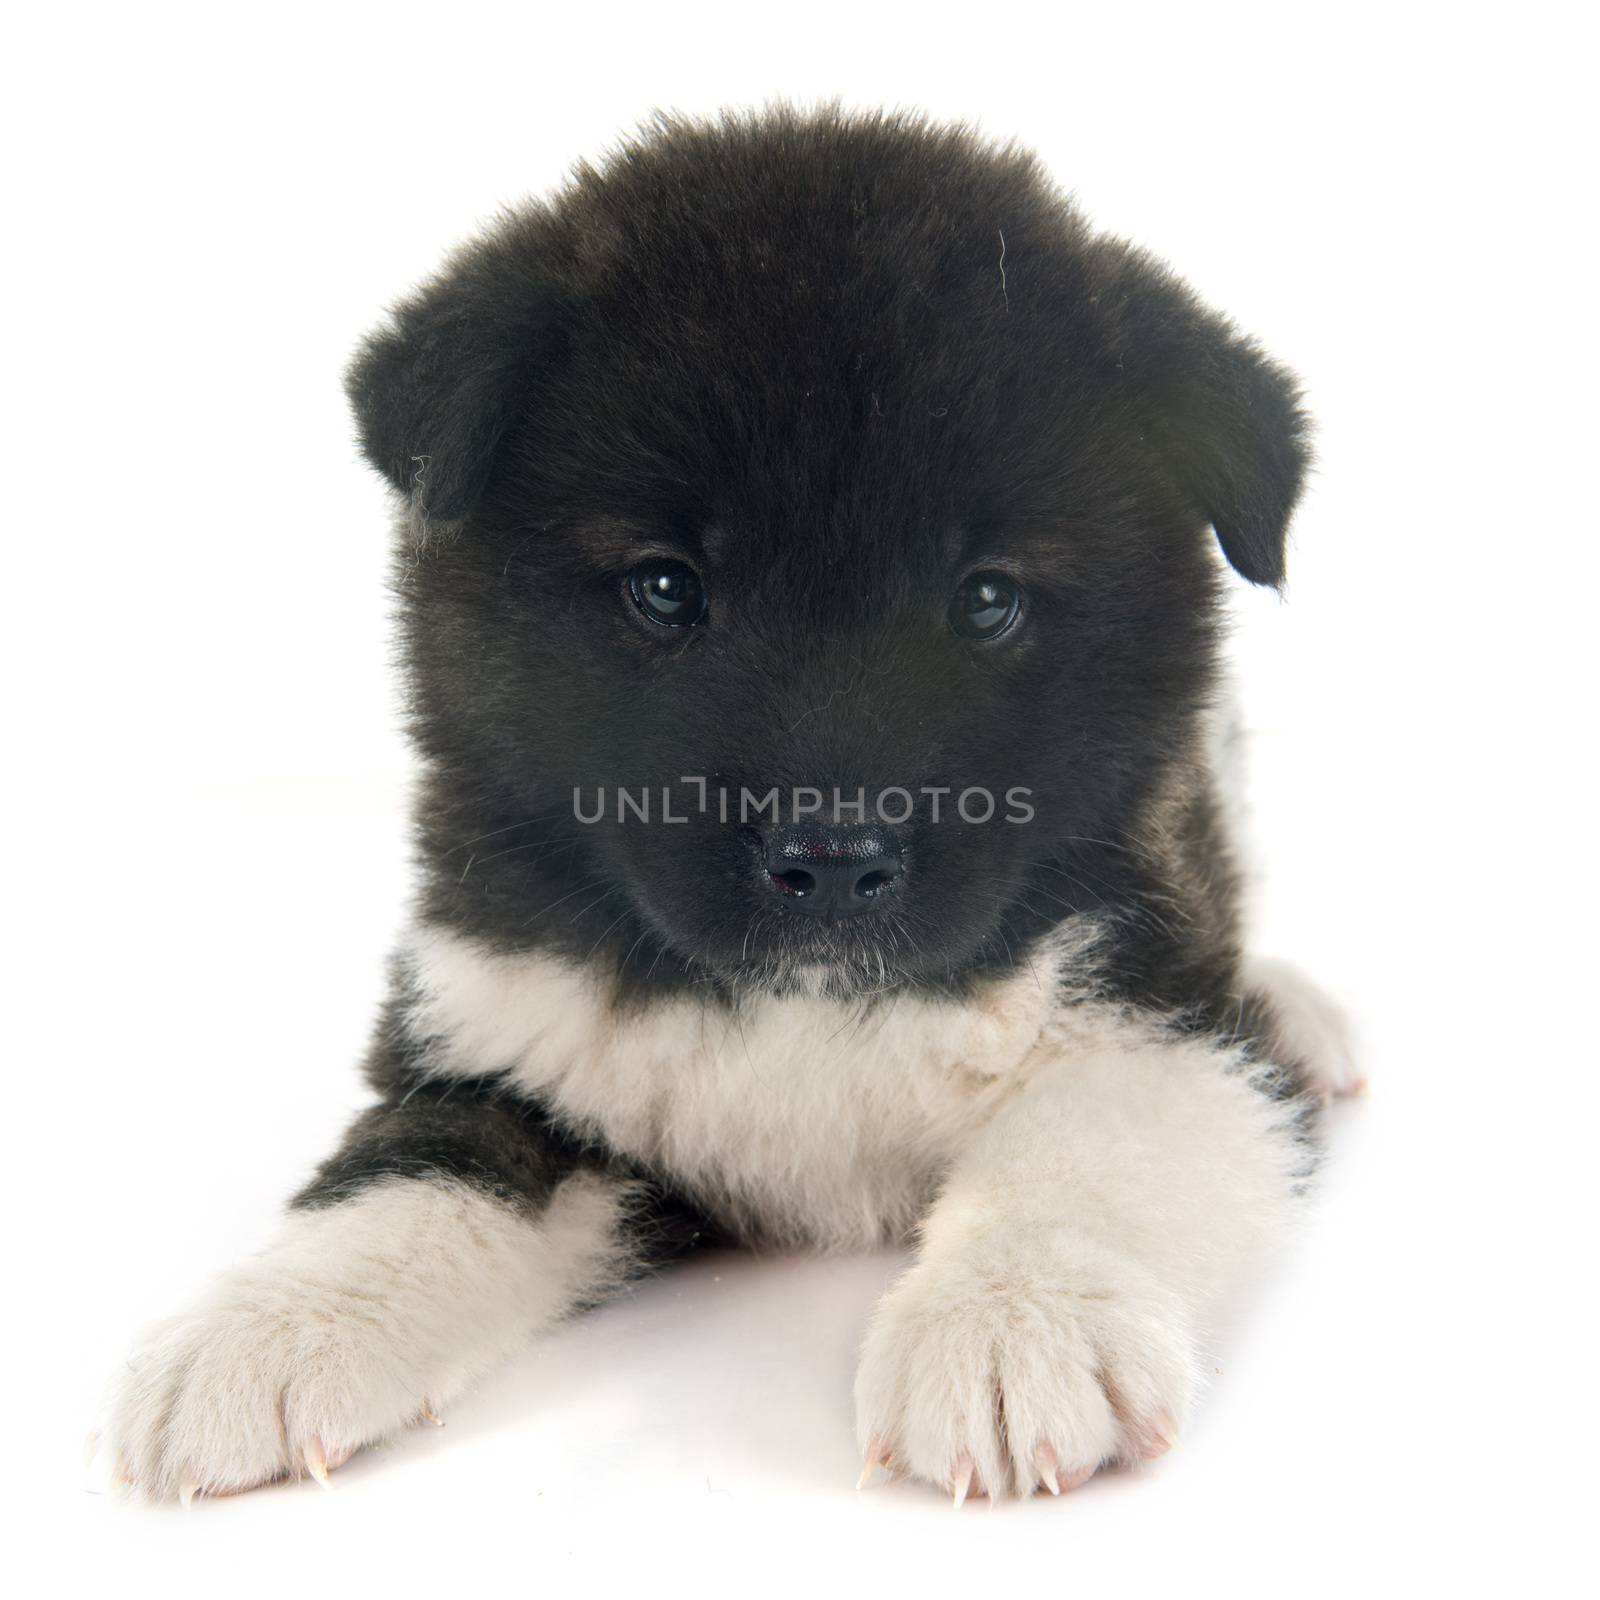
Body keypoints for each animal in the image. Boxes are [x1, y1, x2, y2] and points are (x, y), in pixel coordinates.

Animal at [100, 106, 1356, 1504]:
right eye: (664, 586)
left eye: (986, 598)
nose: (833, 861)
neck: (806, 1013)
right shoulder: (506, 1023)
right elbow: (424, 1163)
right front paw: (271, 1325)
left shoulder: (1161, 997)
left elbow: (1096, 1137)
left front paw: (1012, 1317)